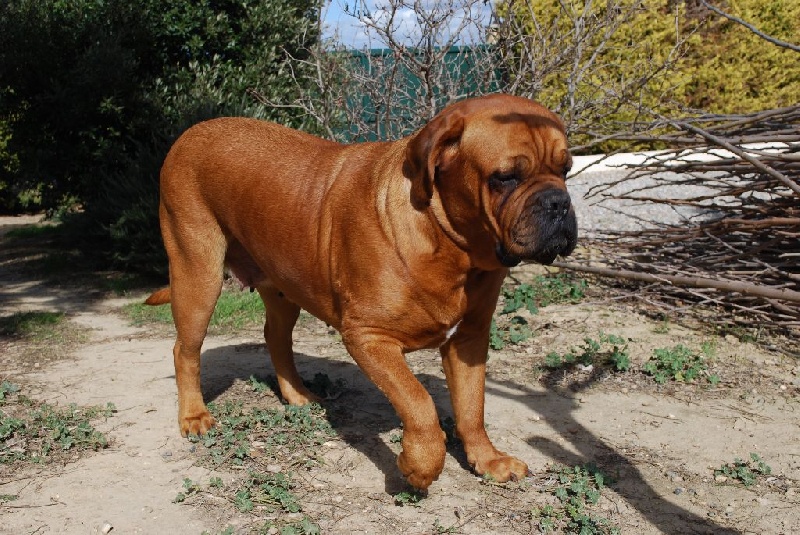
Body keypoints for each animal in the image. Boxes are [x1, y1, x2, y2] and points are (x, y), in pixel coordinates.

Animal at [146, 93, 577, 490]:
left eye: (566, 169)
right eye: (505, 177)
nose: (559, 203)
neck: (449, 245)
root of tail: (188, 135)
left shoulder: (469, 340)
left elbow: (472, 407)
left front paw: (487, 459)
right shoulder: (369, 337)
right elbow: (419, 402)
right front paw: (420, 465)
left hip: (282, 288)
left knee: (275, 337)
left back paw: (297, 395)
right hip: (198, 275)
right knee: (185, 350)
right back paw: (194, 416)